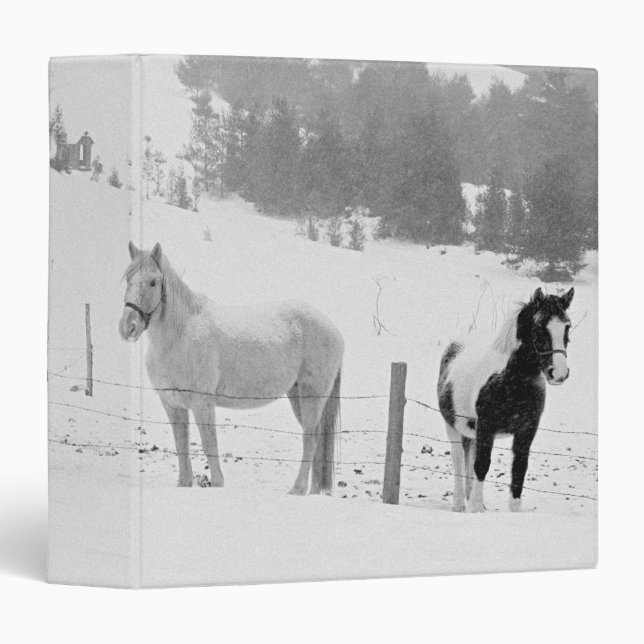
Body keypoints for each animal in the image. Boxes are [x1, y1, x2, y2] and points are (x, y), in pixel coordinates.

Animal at [118, 241, 344, 495]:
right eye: (128, 279)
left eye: (153, 282)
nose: (128, 327)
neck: (178, 336)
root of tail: (334, 330)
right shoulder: (172, 404)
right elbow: (181, 443)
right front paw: (184, 483)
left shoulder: (202, 403)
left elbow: (209, 443)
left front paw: (217, 483)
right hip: (296, 395)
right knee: (316, 437)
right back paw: (313, 490)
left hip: (311, 395)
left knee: (310, 438)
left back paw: (297, 489)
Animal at [437, 286, 574, 513]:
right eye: (538, 327)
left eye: (567, 326)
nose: (559, 374)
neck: (511, 381)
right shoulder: (486, 426)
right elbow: (482, 465)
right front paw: (475, 509)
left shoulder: (526, 430)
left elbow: (519, 469)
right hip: (453, 427)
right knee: (458, 460)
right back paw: (459, 504)